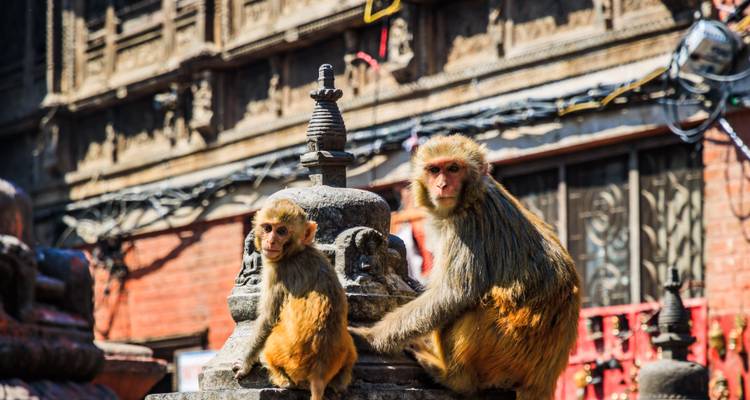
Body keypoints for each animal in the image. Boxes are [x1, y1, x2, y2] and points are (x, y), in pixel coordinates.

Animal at [233, 198, 357, 400]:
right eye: (268, 228)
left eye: (282, 231)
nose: (271, 240)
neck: (296, 252)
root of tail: (318, 374)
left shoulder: (277, 273)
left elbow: (268, 319)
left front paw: (245, 364)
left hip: (286, 356)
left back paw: (284, 381)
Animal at [351, 135, 581, 400]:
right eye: (434, 170)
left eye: (453, 169)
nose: (442, 185)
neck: (471, 197)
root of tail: (544, 377)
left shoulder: (466, 225)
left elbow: (453, 294)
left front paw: (371, 338)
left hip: (506, 351)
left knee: (470, 304)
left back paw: (453, 378)